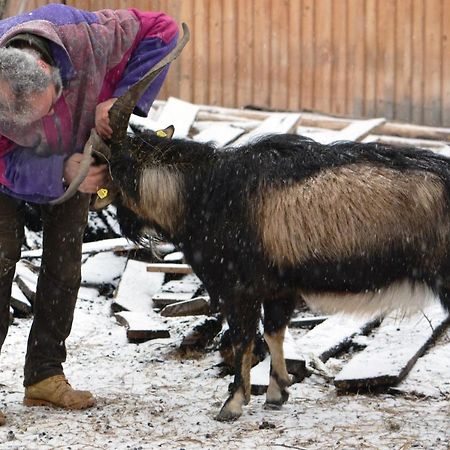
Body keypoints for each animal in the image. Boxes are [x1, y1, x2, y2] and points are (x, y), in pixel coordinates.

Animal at [55, 24, 450, 420]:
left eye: (103, 164)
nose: (82, 192)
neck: (203, 191)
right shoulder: (278, 288)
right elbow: (274, 331)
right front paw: (277, 393)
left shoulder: (238, 285)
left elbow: (243, 336)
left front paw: (232, 403)